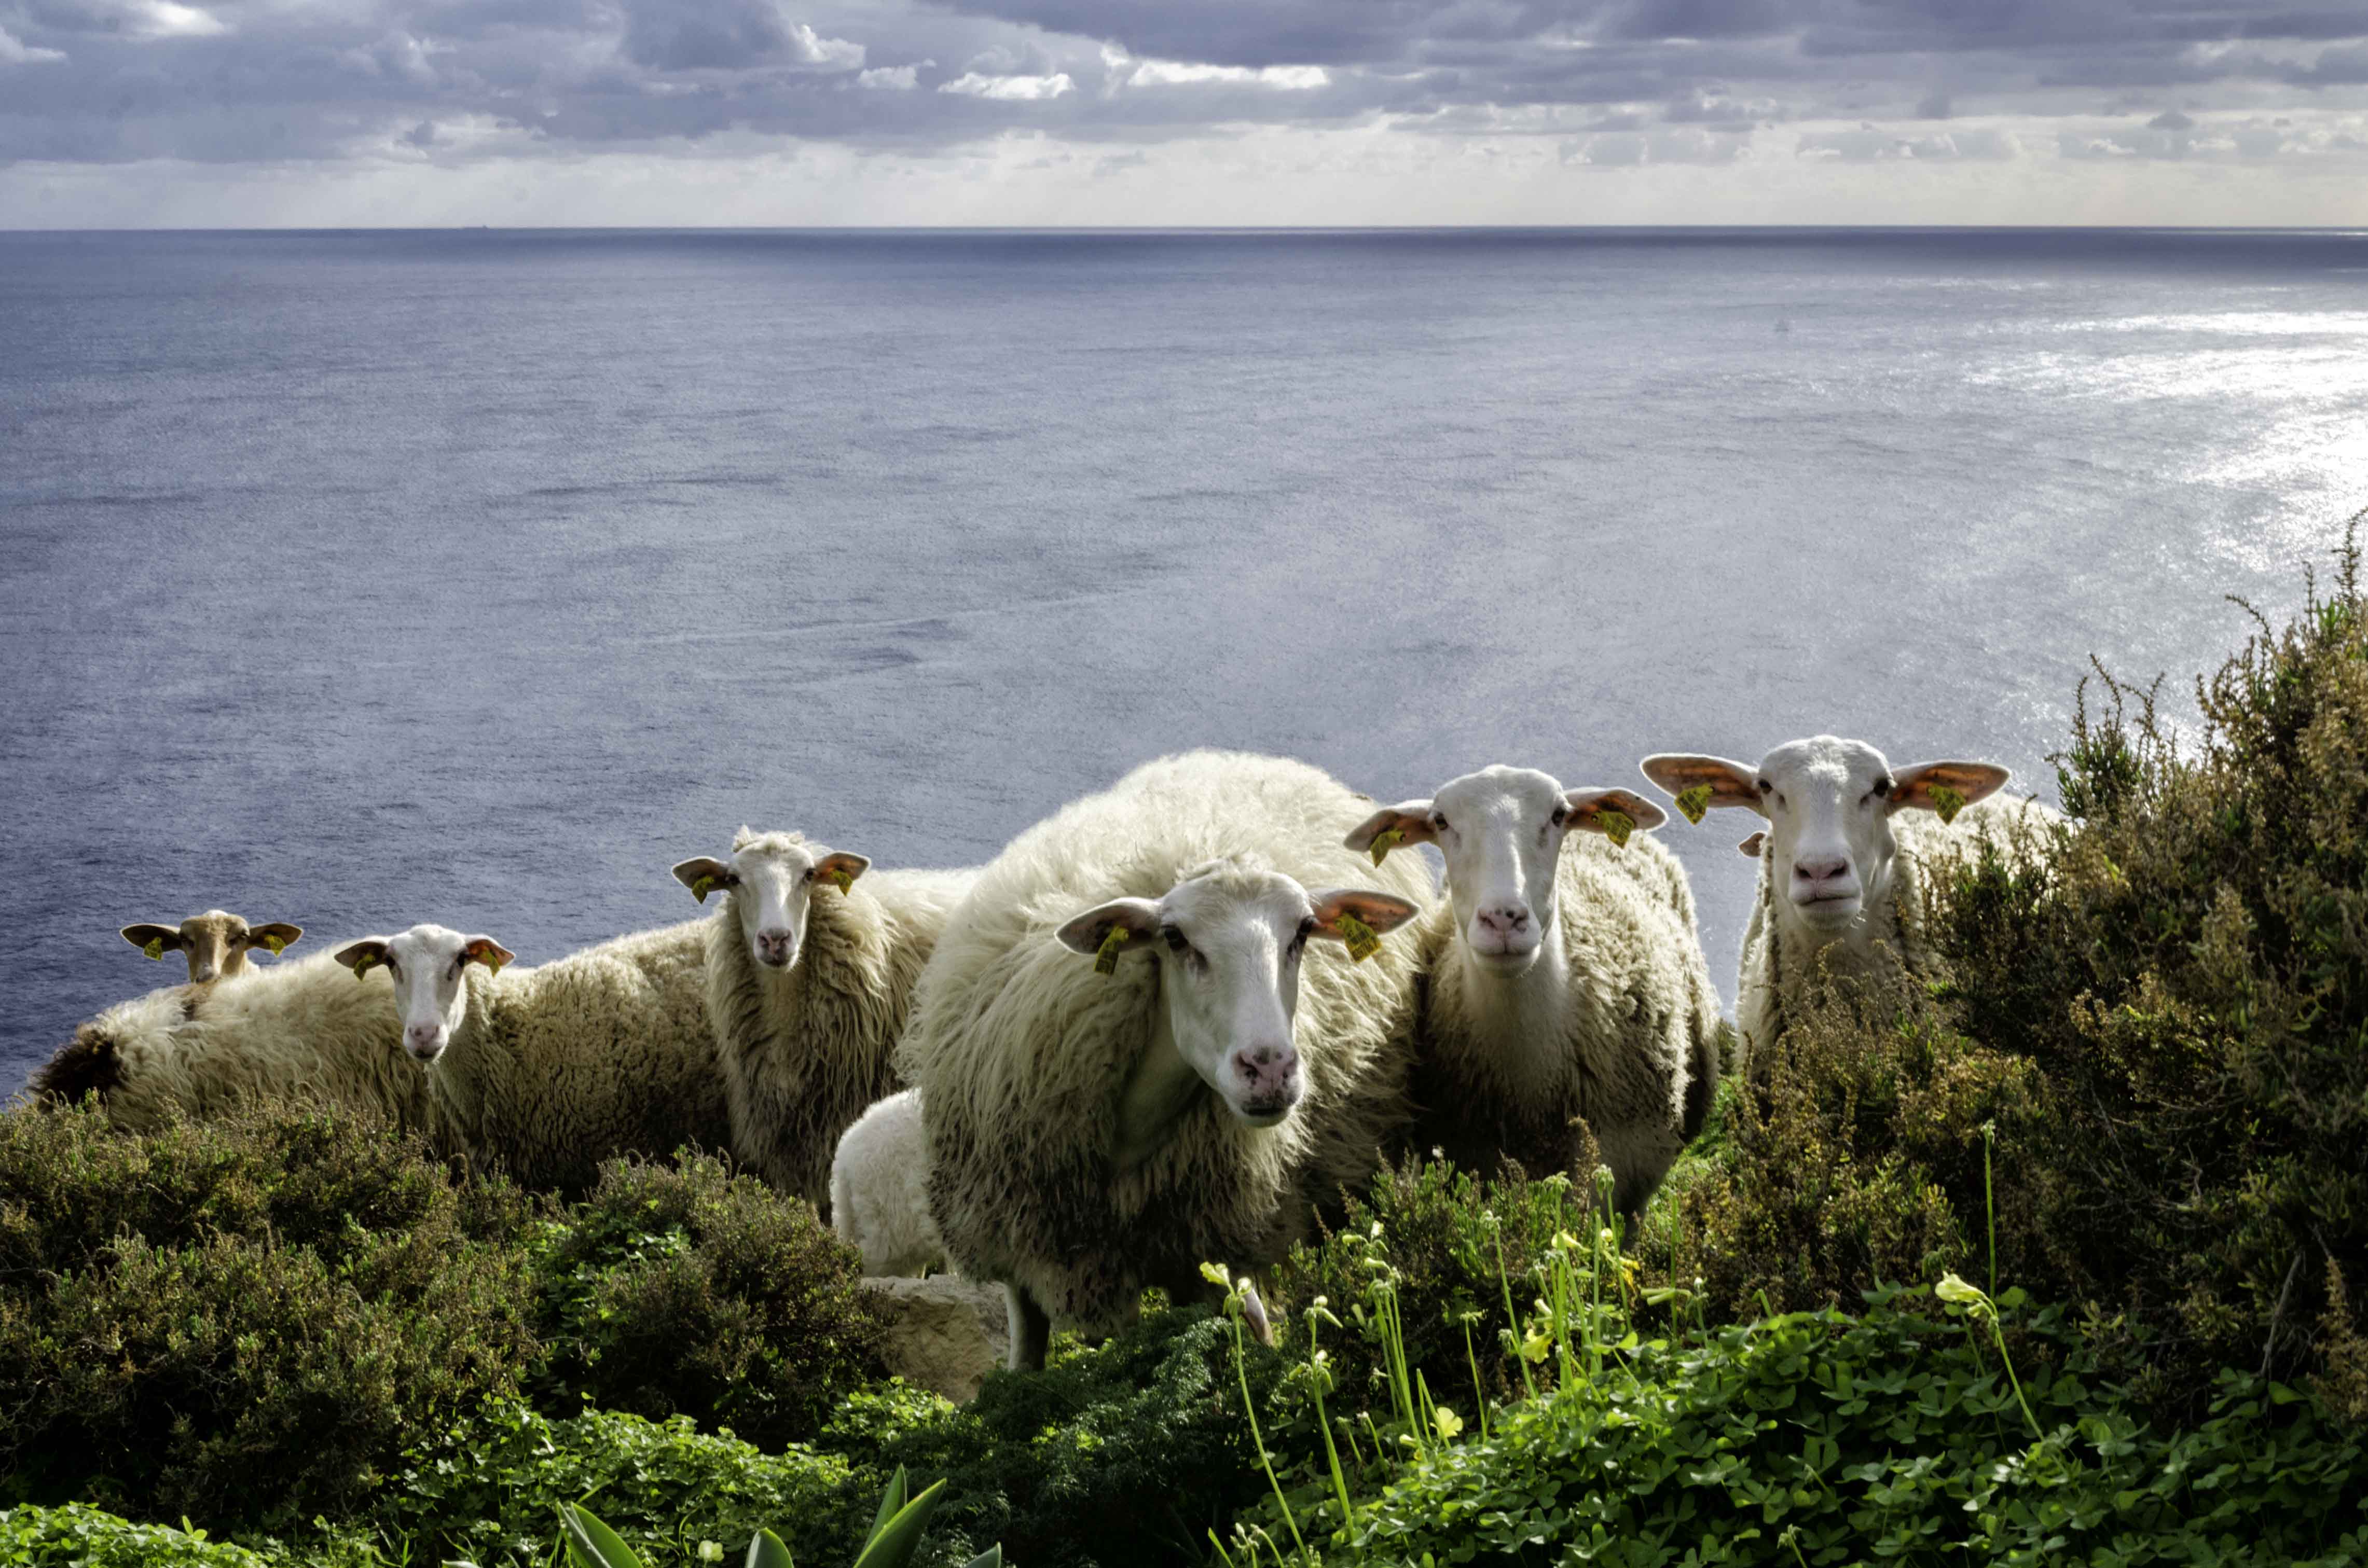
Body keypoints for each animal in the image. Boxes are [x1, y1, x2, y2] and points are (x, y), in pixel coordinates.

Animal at [900, 750, 1431, 1371]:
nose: (1270, 1068)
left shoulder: (1203, 1254)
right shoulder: (1023, 1250)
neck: (1130, 1139)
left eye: (1302, 931)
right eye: (1175, 938)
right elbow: (1031, 1360)